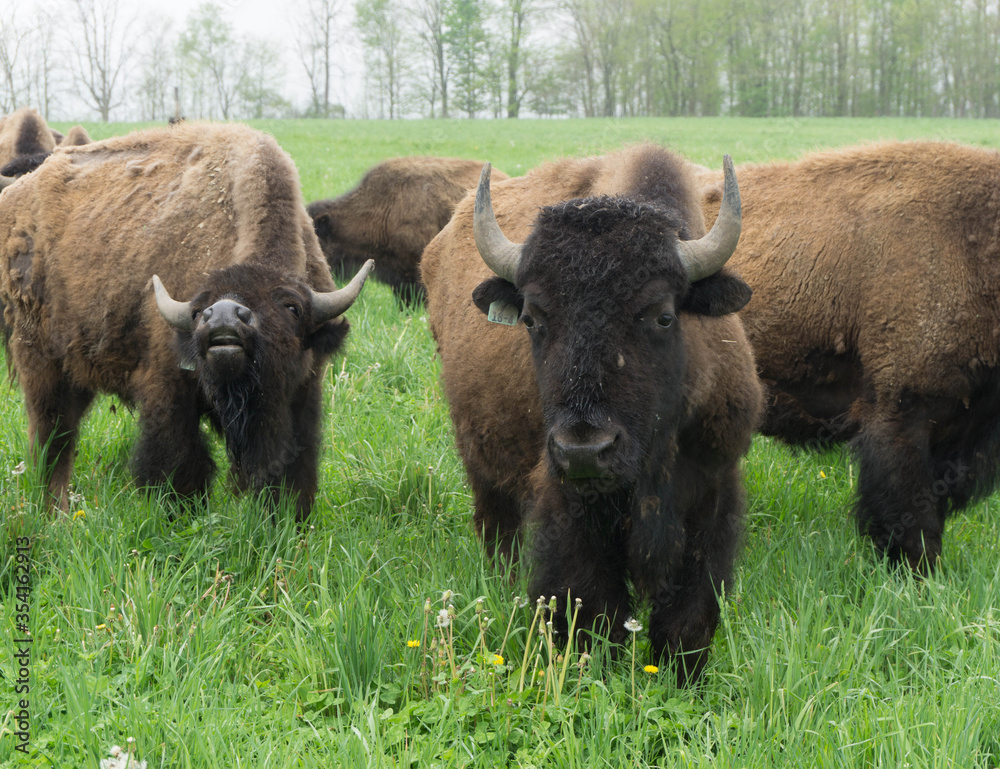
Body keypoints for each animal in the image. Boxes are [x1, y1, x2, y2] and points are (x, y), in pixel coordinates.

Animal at [0, 121, 374, 516]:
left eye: (292, 307)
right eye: (197, 311)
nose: (223, 317)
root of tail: (17, 198)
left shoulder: (302, 388)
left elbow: (293, 464)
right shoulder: (169, 387)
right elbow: (181, 462)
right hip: (41, 364)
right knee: (53, 440)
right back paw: (55, 514)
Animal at [418, 146, 760, 684]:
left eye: (663, 315)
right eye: (532, 318)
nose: (585, 450)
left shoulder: (712, 490)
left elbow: (689, 617)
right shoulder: (569, 509)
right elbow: (592, 609)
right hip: (482, 467)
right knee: (497, 529)